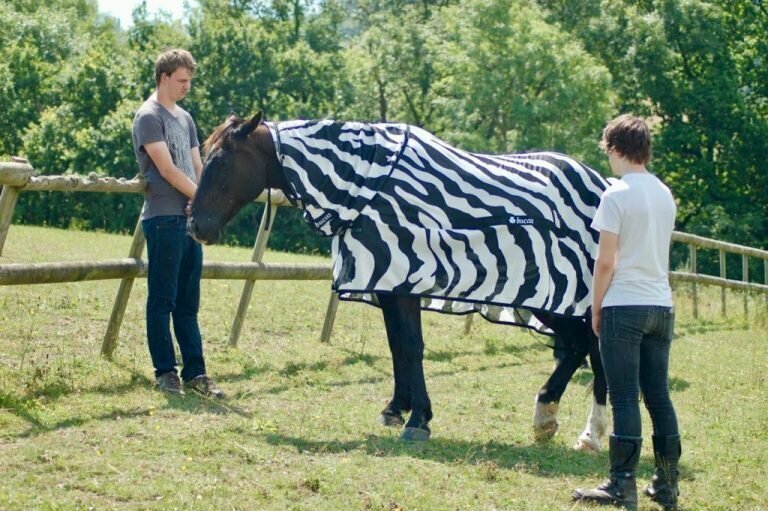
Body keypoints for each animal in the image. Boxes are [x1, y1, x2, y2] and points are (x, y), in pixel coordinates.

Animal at [190, 113, 608, 448]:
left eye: (221, 161)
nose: (195, 225)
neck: (369, 188)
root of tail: (600, 184)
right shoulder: (388, 285)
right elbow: (396, 347)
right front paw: (396, 408)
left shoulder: (406, 280)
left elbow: (411, 345)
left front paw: (419, 419)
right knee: (581, 347)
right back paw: (556, 421)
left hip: (561, 296)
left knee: (589, 349)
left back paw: (582, 429)